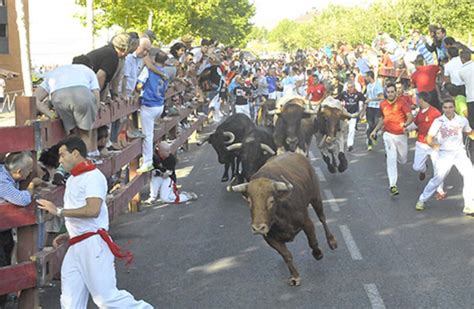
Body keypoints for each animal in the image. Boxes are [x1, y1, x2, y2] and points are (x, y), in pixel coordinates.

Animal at [227, 153, 336, 286]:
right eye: (249, 202)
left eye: (271, 201)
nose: (258, 228)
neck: (280, 218)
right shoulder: (269, 237)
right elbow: (286, 255)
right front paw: (295, 276)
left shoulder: (307, 223)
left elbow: (313, 241)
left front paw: (318, 254)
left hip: (316, 198)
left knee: (322, 218)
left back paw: (332, 241)